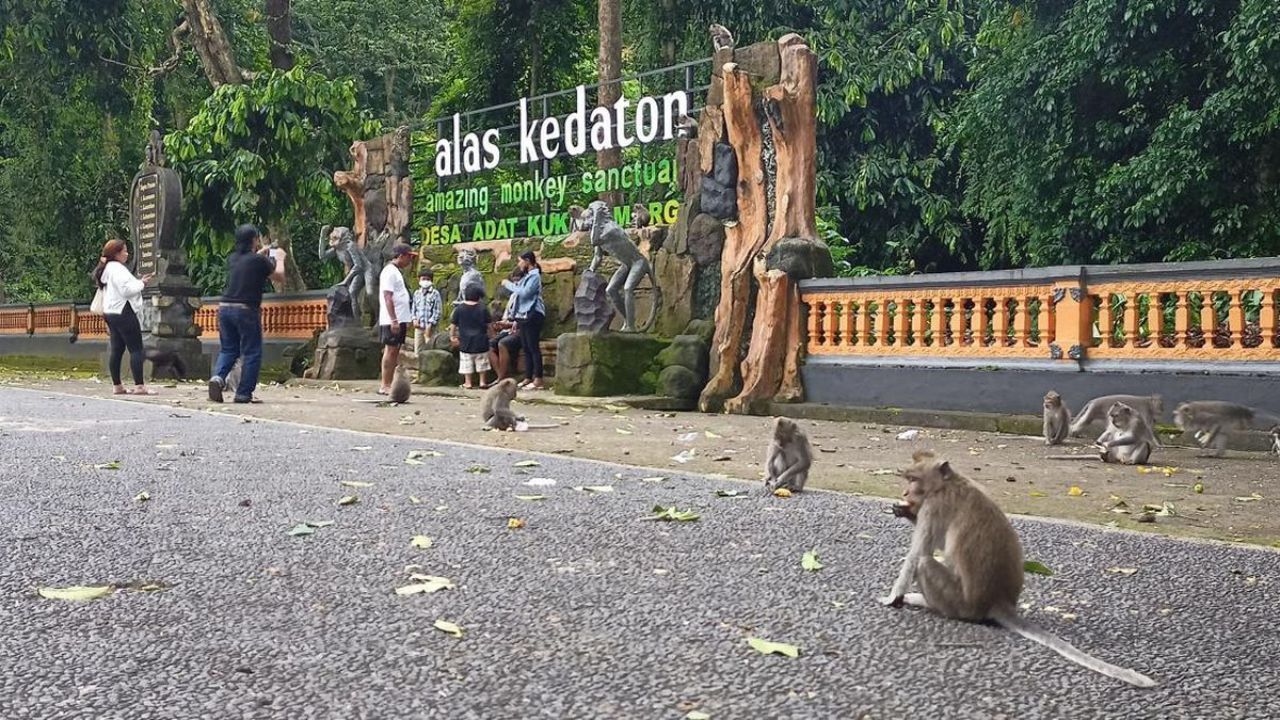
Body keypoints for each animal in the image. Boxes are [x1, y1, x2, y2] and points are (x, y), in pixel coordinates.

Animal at [881, 450, 1158, 688]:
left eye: (914, 479)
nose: (906, 492)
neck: (949, 483)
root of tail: (998, 601)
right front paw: (904, 511)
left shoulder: (934, 505)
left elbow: (917, 554)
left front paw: (893, 597)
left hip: (960, 603)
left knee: (925, 563)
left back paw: (924, 602)